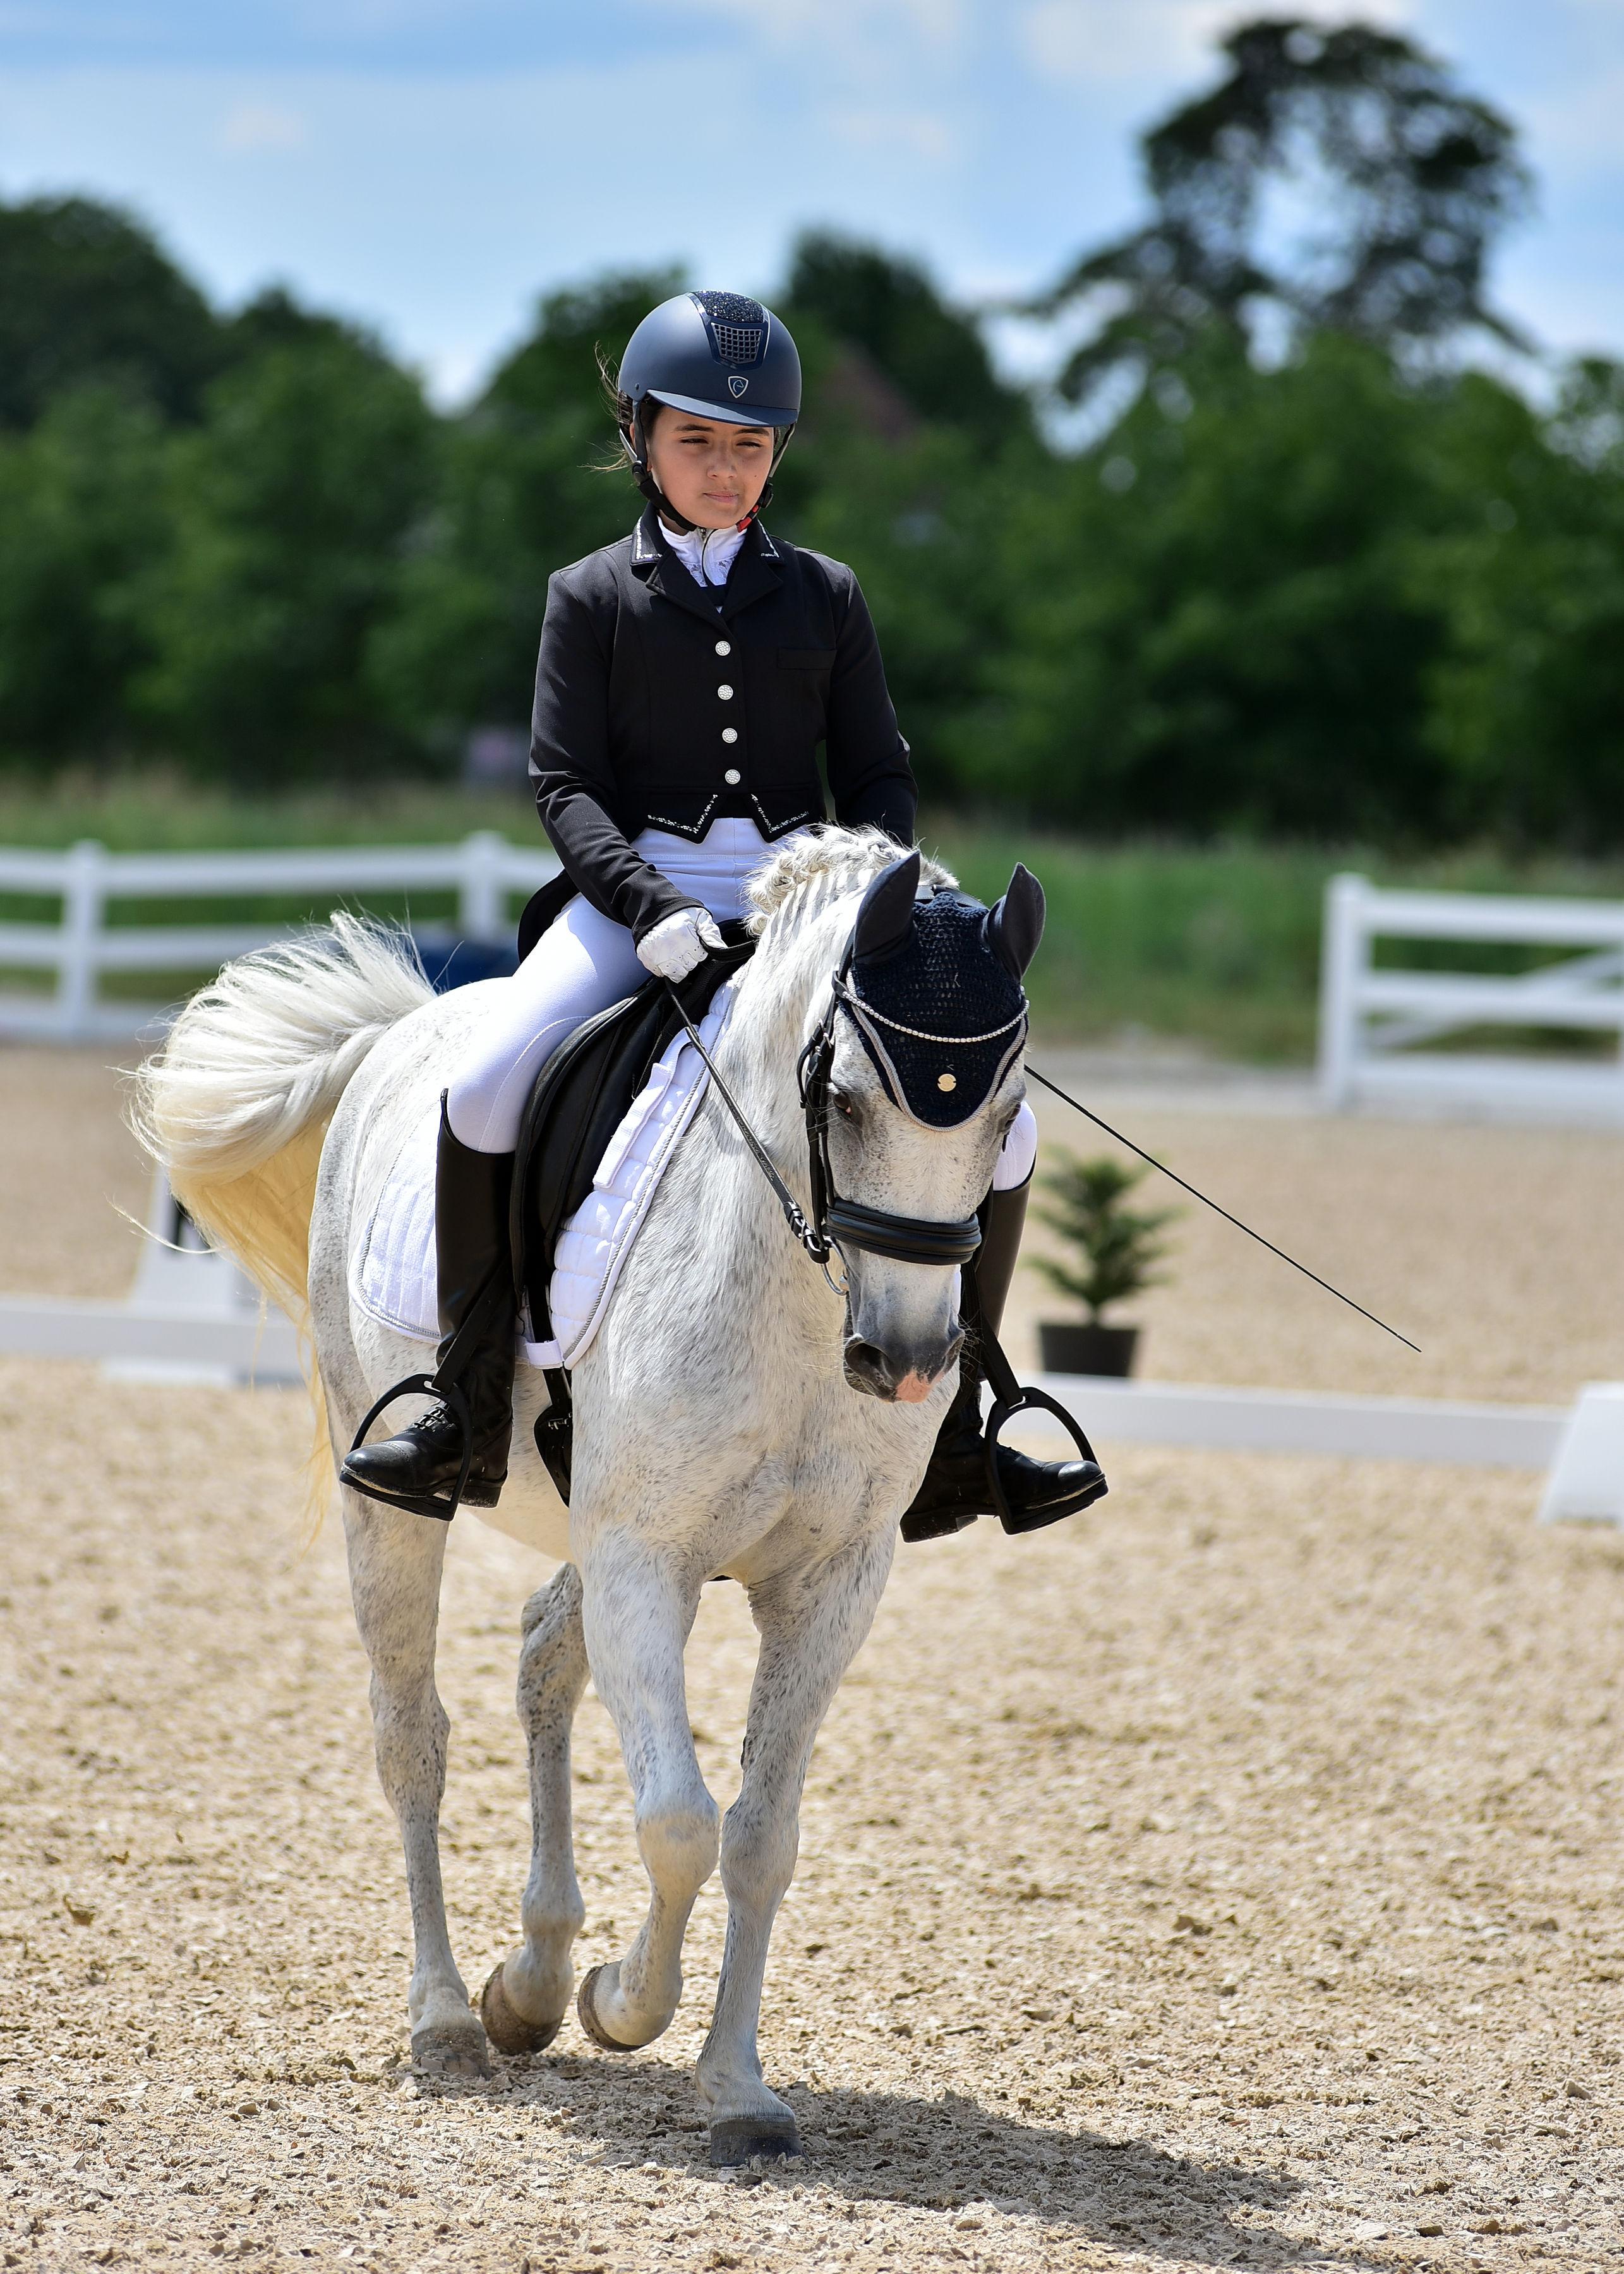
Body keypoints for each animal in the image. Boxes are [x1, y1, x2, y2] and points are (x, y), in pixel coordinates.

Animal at [133, 827, 1032, 2155]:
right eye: (847, 1101)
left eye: (1008, 1116)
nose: (910, 1359)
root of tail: (401, 1031)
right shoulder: (645, 1558)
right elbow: (679, 1822)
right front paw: (623, 2002)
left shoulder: (829, 1580)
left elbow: (760, 1836)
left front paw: (734, 2086)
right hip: (396, 1508)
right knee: (413, 1738)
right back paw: (450, 2019)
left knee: (542, 1651)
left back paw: (533, 1975)